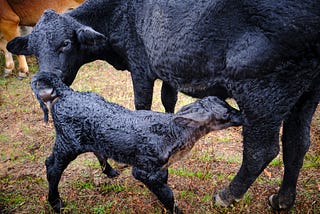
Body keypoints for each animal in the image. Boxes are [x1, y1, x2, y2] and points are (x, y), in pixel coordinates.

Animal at [6, 0, 320, 211]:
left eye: (66, 43)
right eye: (34, 48)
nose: (47, 85)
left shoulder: (140, 65)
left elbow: (141, 102)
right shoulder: (167, 68)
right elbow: (169, 100)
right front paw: (166, 120)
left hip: (263, 88)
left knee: (261, 151)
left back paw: (227, 195)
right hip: (307, 91)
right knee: (297, 143)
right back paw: (282, 200)